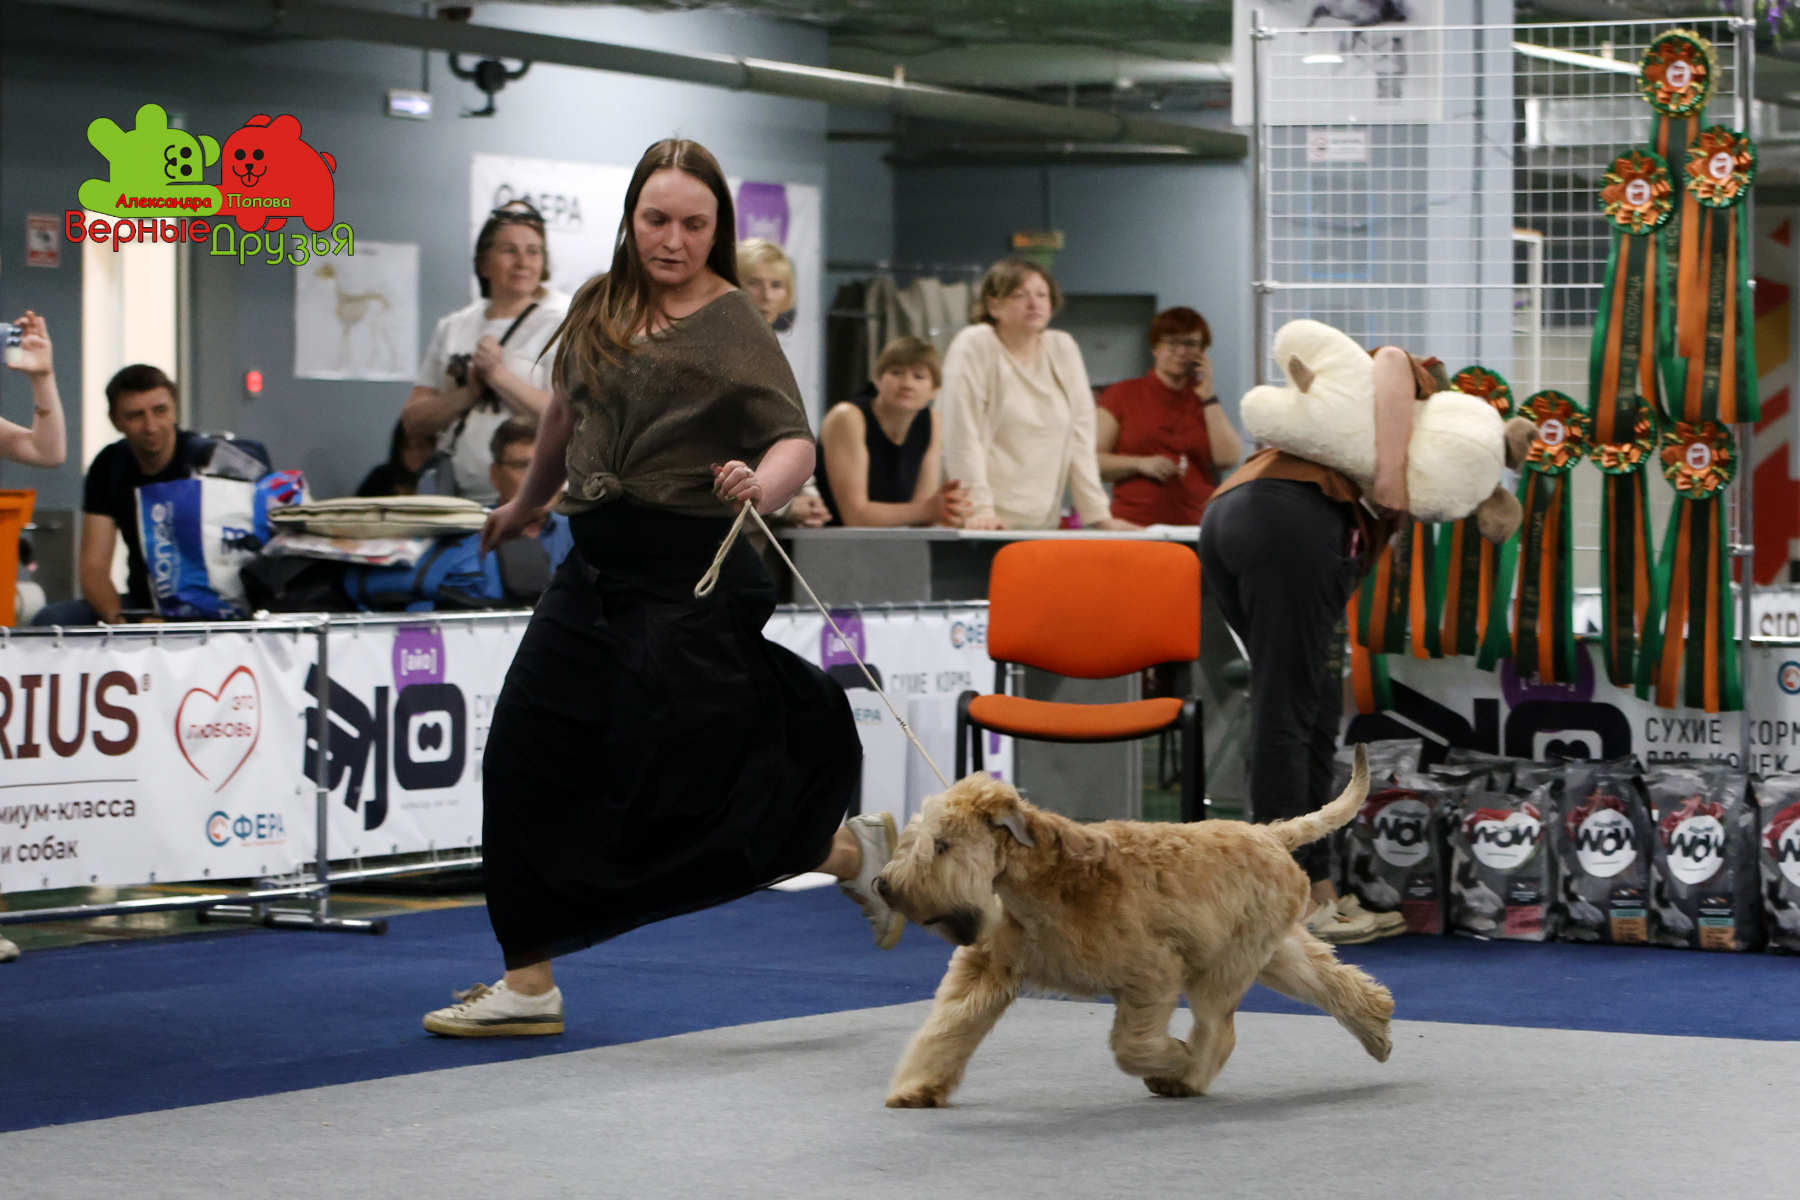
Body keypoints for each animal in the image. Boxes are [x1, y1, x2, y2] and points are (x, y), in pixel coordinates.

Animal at [873, 745, 1392, 1107]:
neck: (1038, 885)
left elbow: (1131, 1045)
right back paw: (1377, 1027)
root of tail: (1269, 833)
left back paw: (1186, 1076)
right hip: (1269, 953)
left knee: (1218, 1030)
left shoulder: (1152, 974)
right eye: (918, 838)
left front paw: (1173, 1058)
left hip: (1224, 969)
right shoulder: (986, 970)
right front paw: (917, 1086)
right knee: (1332, 982)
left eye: (942, 845)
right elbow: (947, 1029)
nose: (884, 886)